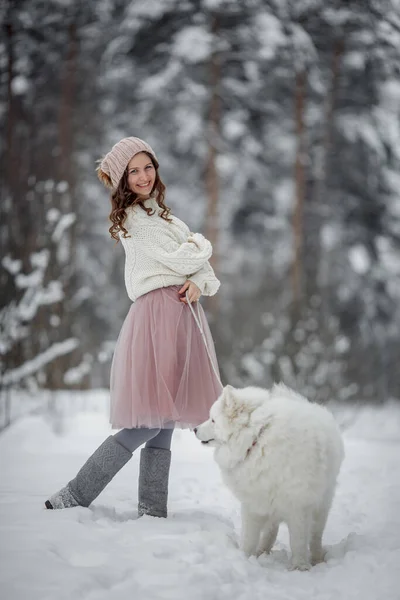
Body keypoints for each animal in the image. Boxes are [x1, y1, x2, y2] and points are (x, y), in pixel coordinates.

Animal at [194, 382, 344, 568]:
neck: (257, 439)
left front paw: (300, 566)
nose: (194, 429)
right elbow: (249, 537)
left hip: (322, 504)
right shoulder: (253, 502)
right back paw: (262, 551)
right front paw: (243, 557)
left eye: (213, 420)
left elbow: (299, 541)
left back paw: (317, 559)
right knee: (271, 530)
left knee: (315, 535)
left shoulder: (298, 505)